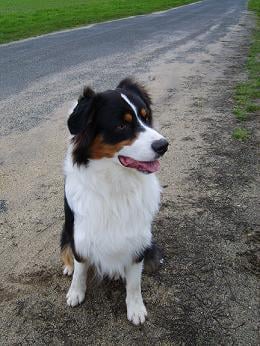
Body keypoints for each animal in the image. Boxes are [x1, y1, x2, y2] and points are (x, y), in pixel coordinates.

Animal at [61, 78, 169, 324]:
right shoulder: (80, 234)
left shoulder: (139, 240)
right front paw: (76, 292)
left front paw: (135, 307)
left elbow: (135, 282)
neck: (115, 185)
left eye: (146, 117)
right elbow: (80, 268)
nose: (164, 145)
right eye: (121, 126)